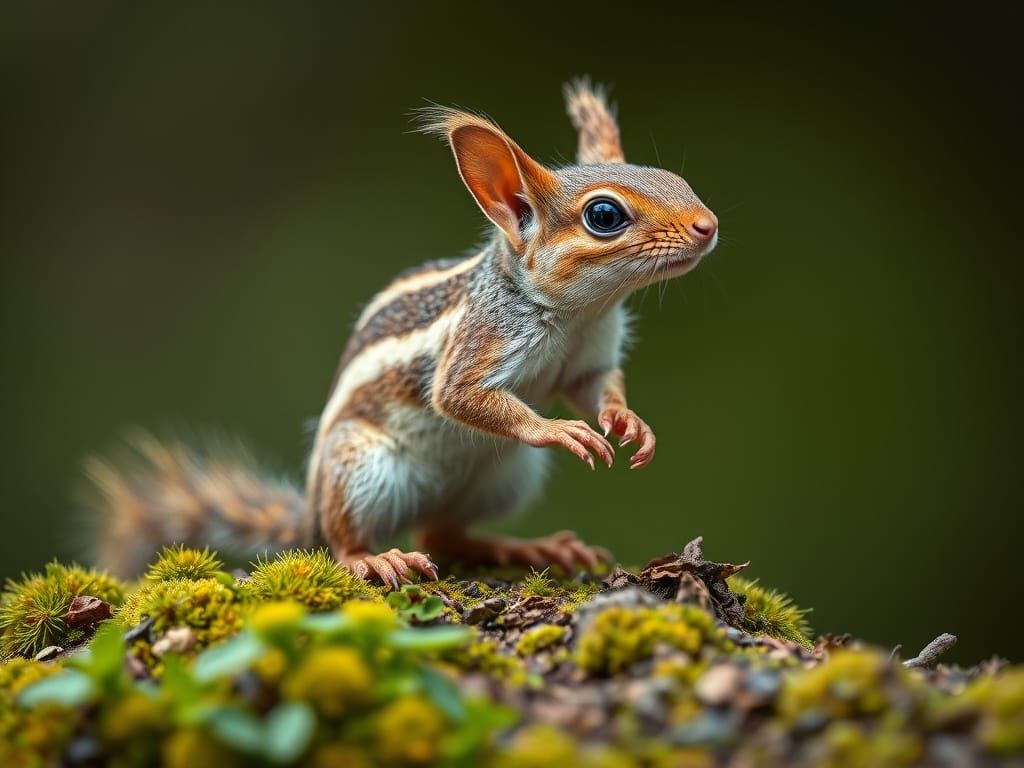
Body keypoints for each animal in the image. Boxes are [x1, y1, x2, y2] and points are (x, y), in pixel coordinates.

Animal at [86, 80, 718, 586]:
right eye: (604, 216)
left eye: (674, 179)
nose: (707, 225)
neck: (579, 314)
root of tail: (310, 513)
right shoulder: (479, 341)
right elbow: (460, 396)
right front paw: (560, 429)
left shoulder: (589, 357)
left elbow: (597, 388)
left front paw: (627, 422)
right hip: (360, 469)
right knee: (350, 541)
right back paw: (373, 558)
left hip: (504, 478)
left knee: (441, 535)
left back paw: (525, 547)